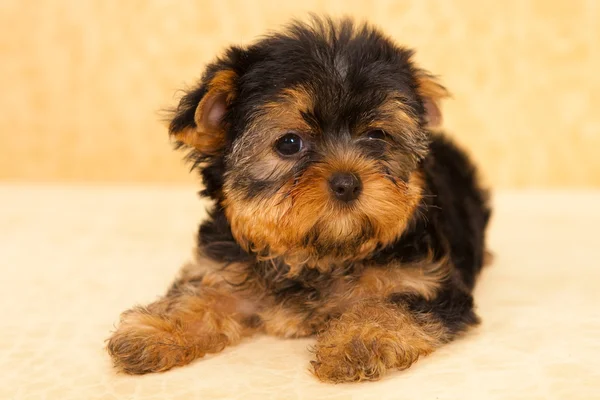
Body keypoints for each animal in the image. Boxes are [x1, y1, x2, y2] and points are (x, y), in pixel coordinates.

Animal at [109, 17, 492, 382]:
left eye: (377, 136)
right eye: (289, 143)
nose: (347, 183)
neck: (316, 254)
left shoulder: (428, 283)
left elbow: (389, 307)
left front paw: (358, 341)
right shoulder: (222, 268)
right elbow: (202, 294)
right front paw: (155, 330)